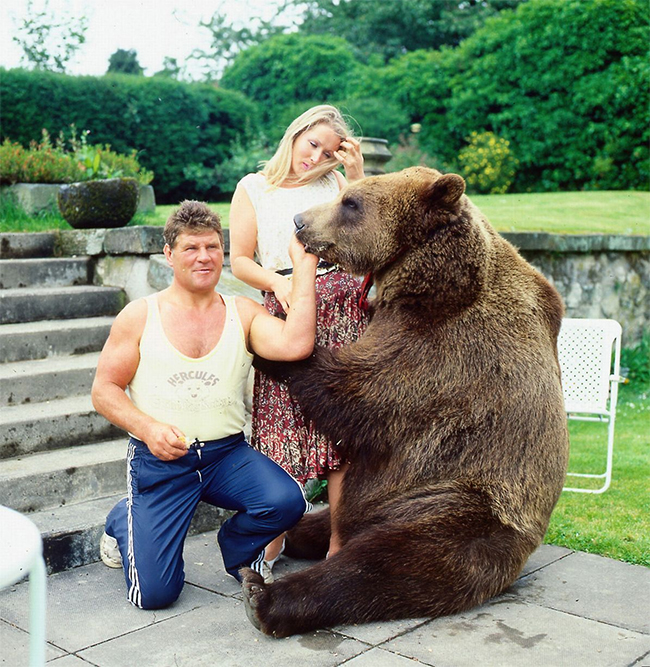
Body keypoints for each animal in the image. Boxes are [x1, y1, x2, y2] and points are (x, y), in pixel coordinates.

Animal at [242, 166, 568, 636]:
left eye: (351, 202)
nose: (300, 221)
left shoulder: (444, 349)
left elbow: (358, 395)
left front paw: (275, 344)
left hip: (457, 505)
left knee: (384, 563)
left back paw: (266, 597)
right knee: (333, 522)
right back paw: (296, 533)